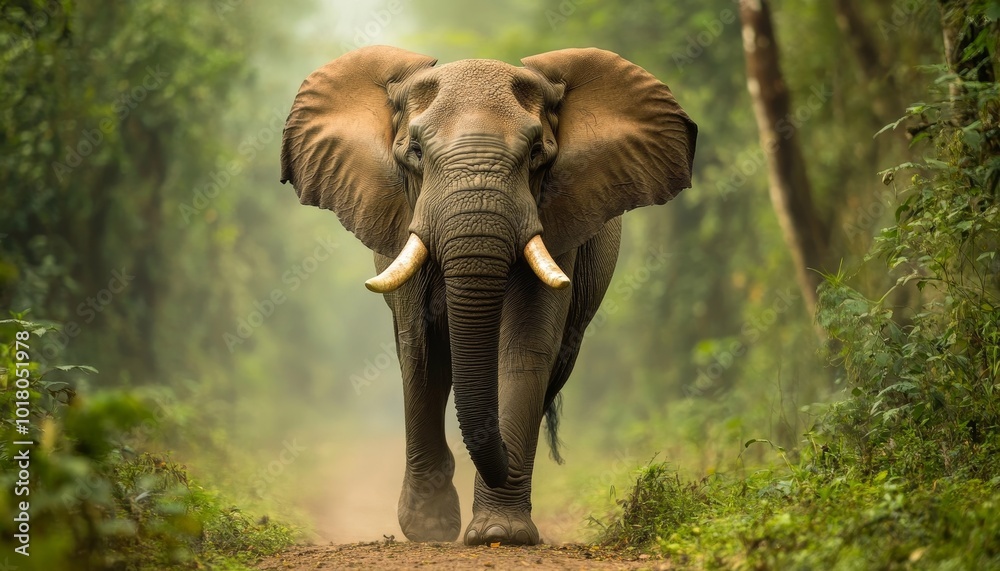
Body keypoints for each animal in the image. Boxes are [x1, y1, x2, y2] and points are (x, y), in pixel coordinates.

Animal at [280, 45, 696, 546]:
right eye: (415, 151)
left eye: (536, 153)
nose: (502, 462)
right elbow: (422, 350)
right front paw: (430, 529)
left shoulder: (558, 223)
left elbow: (525, 346)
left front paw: (501, 532)